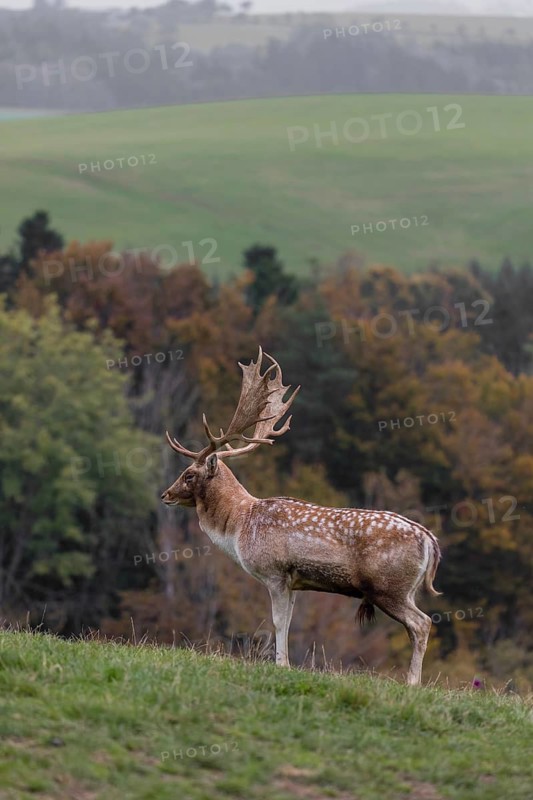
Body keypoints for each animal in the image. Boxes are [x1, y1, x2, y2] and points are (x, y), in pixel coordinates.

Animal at [161, 348, 441, 685]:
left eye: (189, 474)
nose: (166, 494)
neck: (240, 525)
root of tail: (430, 542)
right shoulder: (294, 581)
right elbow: (290, 620)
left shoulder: (274, 571)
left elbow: (279, 621)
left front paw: (281, 665)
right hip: (405, 589)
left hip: (388, 587)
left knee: (422, 623)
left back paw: (412, 682)